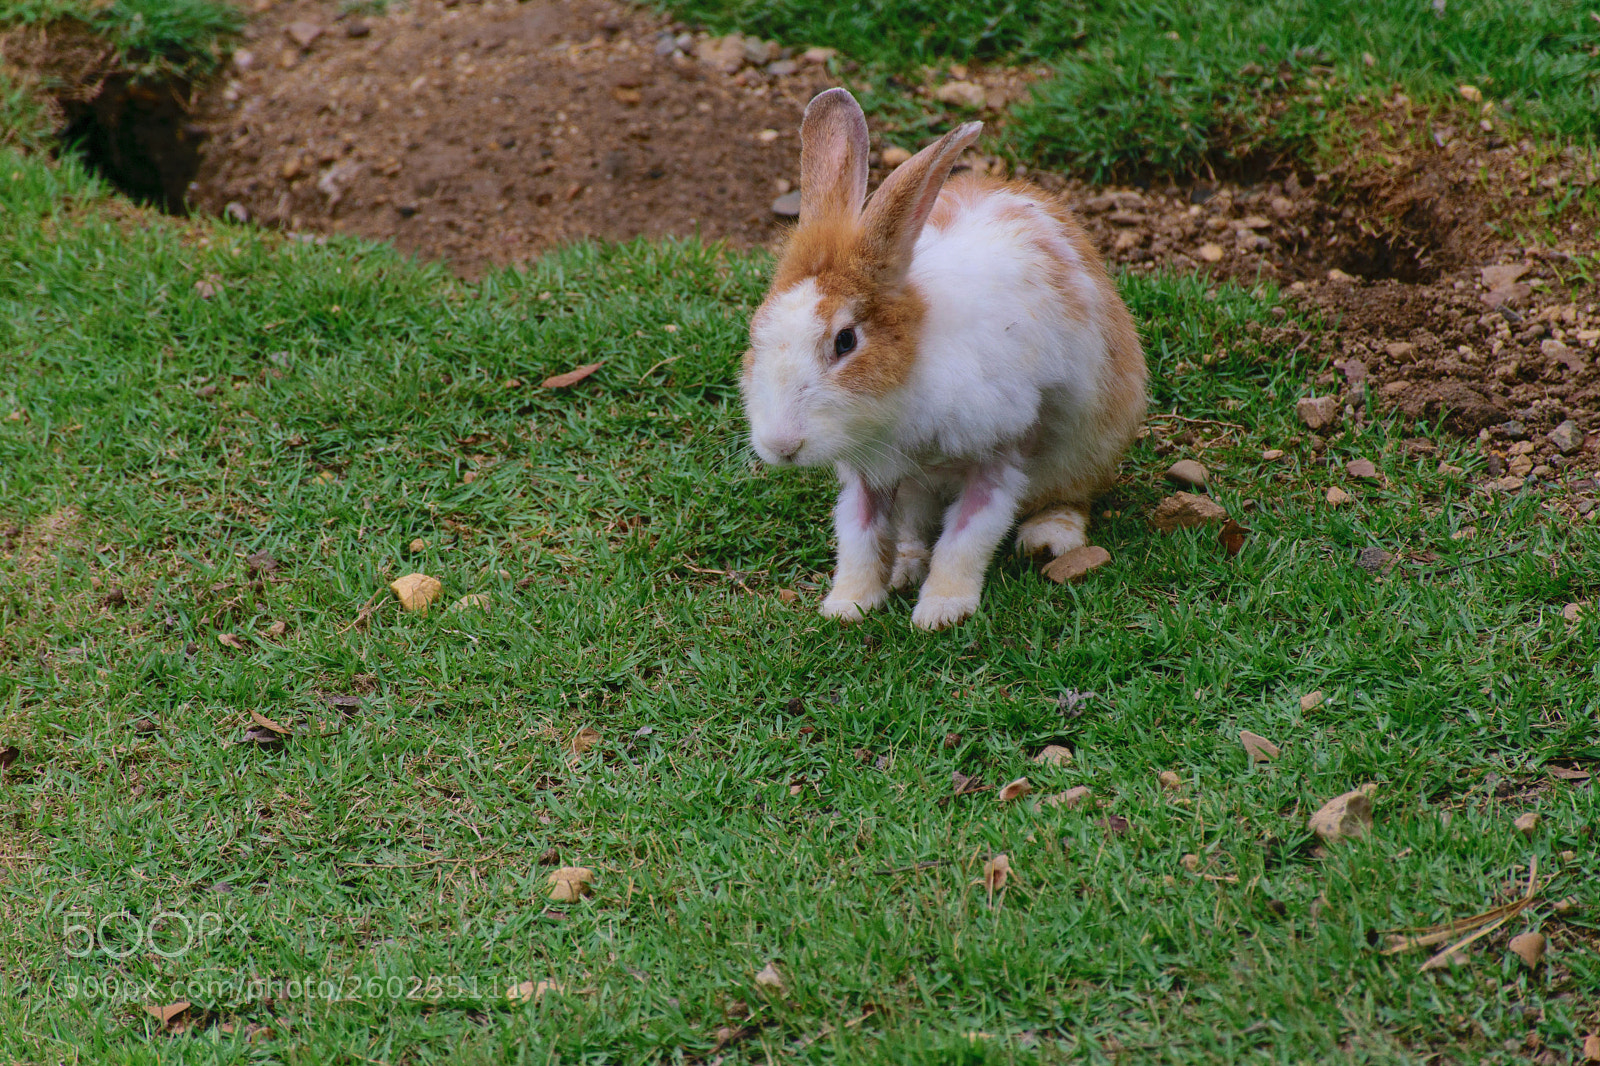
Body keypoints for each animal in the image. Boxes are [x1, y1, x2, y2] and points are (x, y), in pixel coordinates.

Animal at [739, 88, 1147, 631]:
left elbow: (968, 535)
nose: (780, 445)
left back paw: (1047, 537)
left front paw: (940, 611)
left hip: (1090, 443)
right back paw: (904, 568)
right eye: (756, 332)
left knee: (1070, 495)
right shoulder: (869, 473)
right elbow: (859, 534)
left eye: (845, 341)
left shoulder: (999, 449)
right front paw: (848, 605)